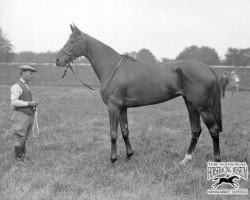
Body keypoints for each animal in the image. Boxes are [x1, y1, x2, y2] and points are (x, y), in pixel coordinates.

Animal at [55, 24, 223, 165]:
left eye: (72, 41)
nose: (57, 60)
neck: (112, 68)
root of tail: (208, 68)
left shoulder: (113, 107)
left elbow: (113, 133)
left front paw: (113, 159)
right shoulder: (122, 108)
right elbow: (125, 131)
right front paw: (129, 155)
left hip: (202, 107)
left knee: (213, 130)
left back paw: (216, 160)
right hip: (191, 105)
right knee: (196, 130)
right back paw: (185, 160)